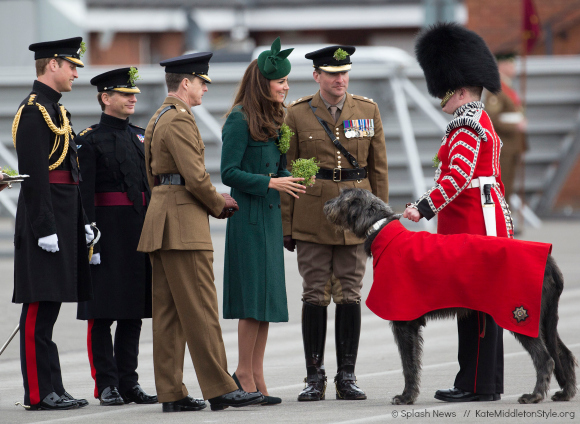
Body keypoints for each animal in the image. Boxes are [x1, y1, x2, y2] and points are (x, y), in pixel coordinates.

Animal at [324, 188, 576, 404]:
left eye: (342, 197)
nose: (326, 204)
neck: (381, 229)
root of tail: (549, 261)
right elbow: (413, 362)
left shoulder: (404, 321)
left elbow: (408, 364)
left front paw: (406, 397)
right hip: (544, 319)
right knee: (563, 353)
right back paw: (565, 392)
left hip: (520, 315)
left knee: (546, 358)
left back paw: (534, 395)